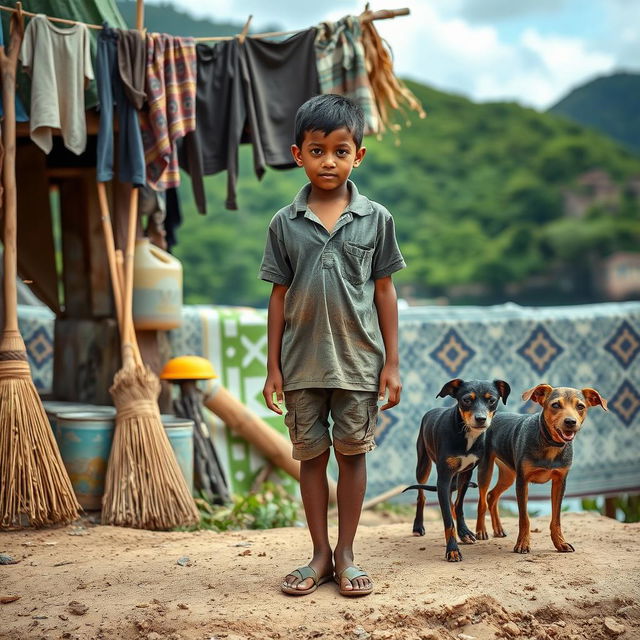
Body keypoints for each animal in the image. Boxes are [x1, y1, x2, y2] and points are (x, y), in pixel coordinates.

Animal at [408, 378, 512, 564]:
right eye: (466, 400)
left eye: (492, 400)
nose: (480, 419)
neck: (467, 434)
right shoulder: (443, 477)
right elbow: (447, 520)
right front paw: (452, 550)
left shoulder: (466, 473)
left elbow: (459, 506)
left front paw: (464, 532)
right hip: (423, 464)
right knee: (422, 495)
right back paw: (418, 526)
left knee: (451, 501)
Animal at [476, 382, 608, 552]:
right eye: (555, 405)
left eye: (580, 406)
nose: (570, 422)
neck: (550, 444)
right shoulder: (522, 481)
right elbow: (524, 518)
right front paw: (522, 543)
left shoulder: (560, 481)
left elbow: (556, 519)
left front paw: (560, 543)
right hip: (486, 468)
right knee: (482, 500)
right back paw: (481, 531)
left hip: (508, 474)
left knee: (492, 496)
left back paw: (498, 529)